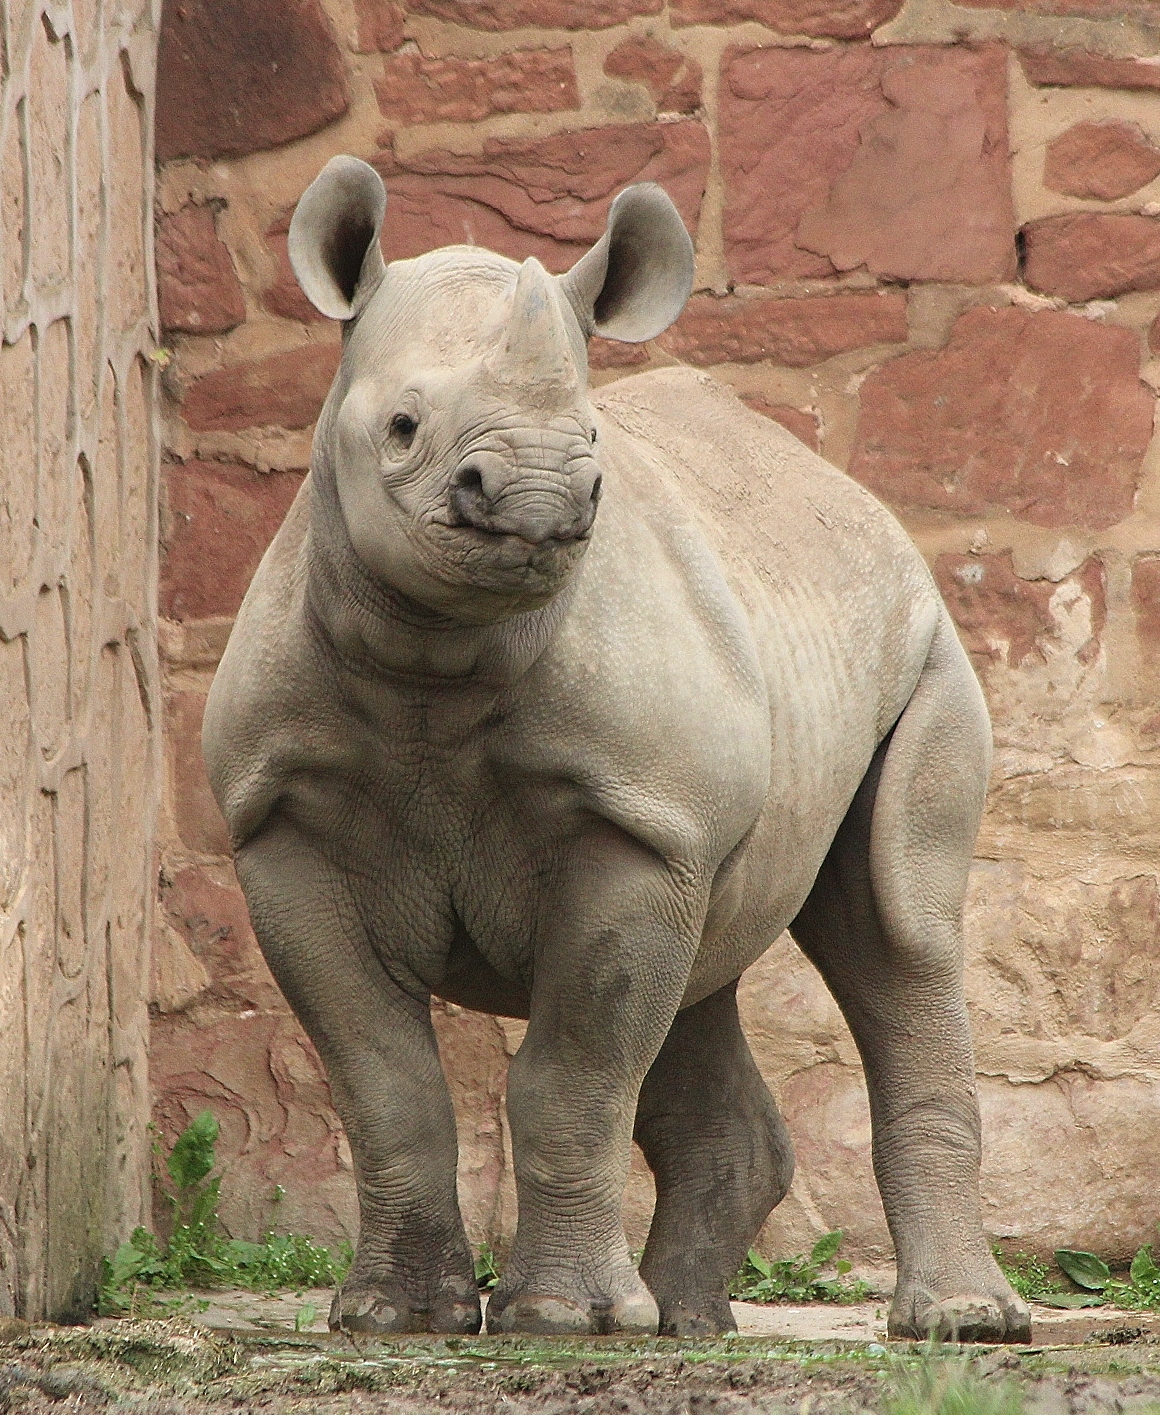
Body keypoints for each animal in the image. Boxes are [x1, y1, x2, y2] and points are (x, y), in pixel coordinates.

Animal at [204, 155, 1031, 1343]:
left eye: (593, 443)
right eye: (402, 426)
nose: (541, 499)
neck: (432, 658)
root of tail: (850, 495)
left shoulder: (633, 820)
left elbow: (576, 1068)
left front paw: (562, 1318)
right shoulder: (282, 820)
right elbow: (383, 1079)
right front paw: (391, 1318)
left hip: (922, 642)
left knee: (899, 928)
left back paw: (955, 1324)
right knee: (707, 972)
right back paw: (688, 1322)